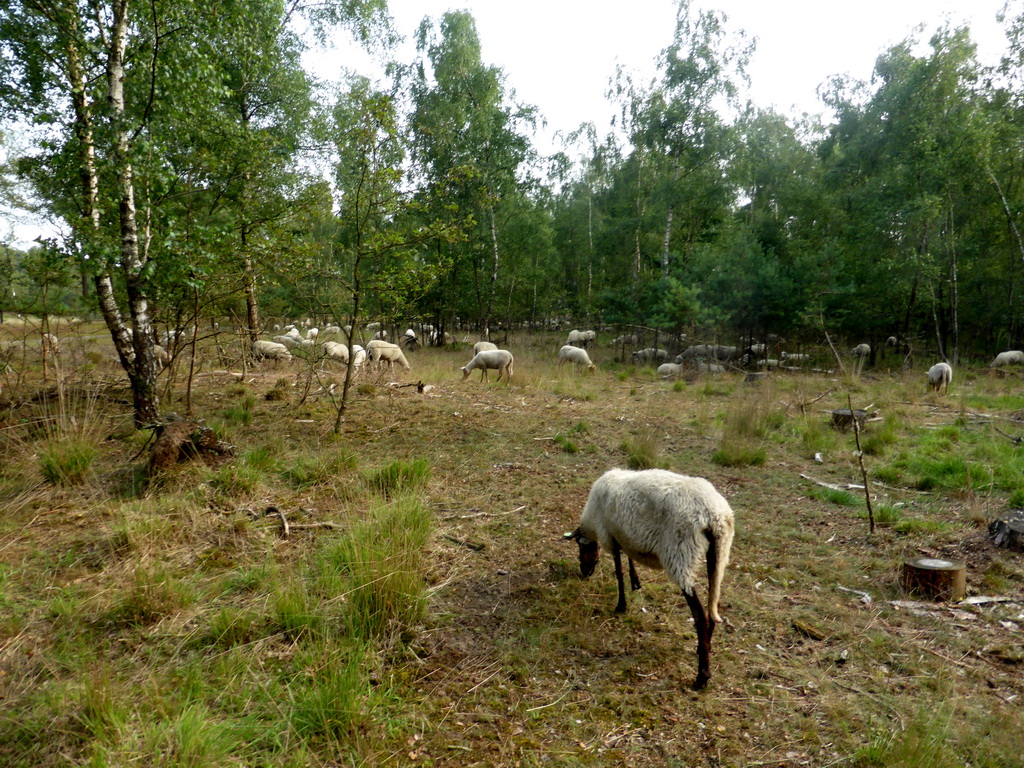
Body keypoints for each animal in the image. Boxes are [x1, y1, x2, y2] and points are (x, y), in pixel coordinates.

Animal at [561, 468, 737, 692]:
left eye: (580, 549)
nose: (585, 573)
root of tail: (714, 516)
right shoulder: (624, 536)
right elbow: (629, 560)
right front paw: (636, 583)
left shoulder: (610, 536)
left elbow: (619, 572)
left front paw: (621, 606)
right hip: (720, 552)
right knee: (713, 604)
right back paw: (703, 646)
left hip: (681, 554)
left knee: (700, 614)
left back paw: (702, 676)